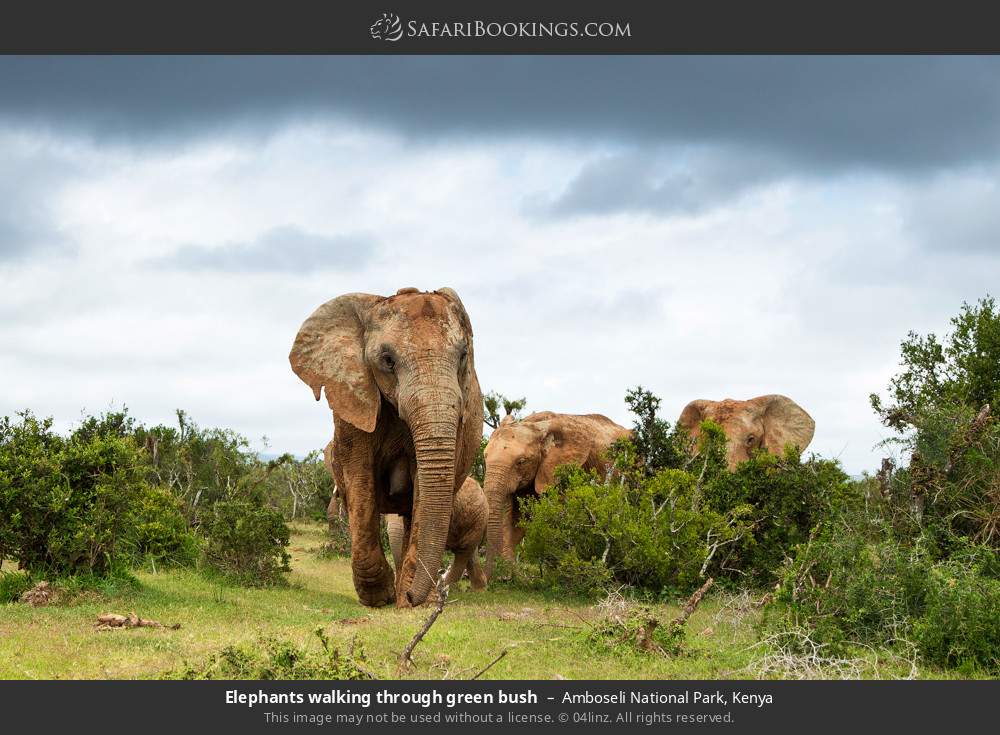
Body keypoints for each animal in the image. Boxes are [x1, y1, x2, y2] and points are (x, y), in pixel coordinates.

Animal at [288, 288, 482, 608]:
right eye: (388, 360)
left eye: (463, 355)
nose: (414, 597)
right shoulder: (352, 394)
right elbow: (359, 478)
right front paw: (379, 597)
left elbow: (423, 489)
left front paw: (409, 600)